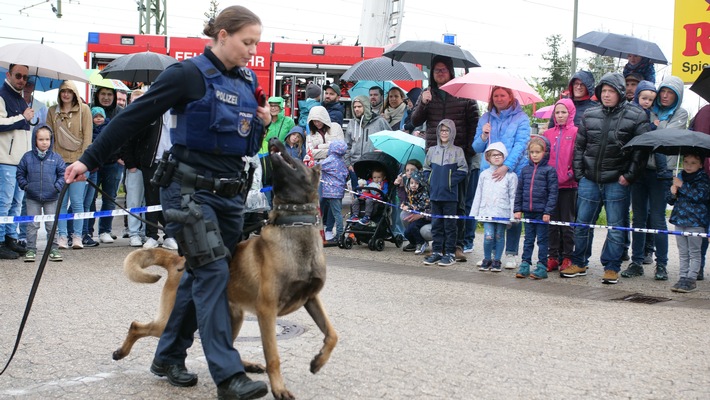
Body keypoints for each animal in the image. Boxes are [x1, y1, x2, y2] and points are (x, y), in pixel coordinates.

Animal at [113, 138, 340, 400]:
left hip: (235, 316)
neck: (294, 226)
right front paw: (279, 389)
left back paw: (243, 367)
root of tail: (178, 261)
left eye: (297, 157)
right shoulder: (267, 311)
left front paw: (318, 361)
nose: (273, 139)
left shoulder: (312, 299)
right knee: (139, 326)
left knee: (226, 345)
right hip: (174, 318)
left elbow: (332, 334)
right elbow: (273, 356)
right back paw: (123, 352)